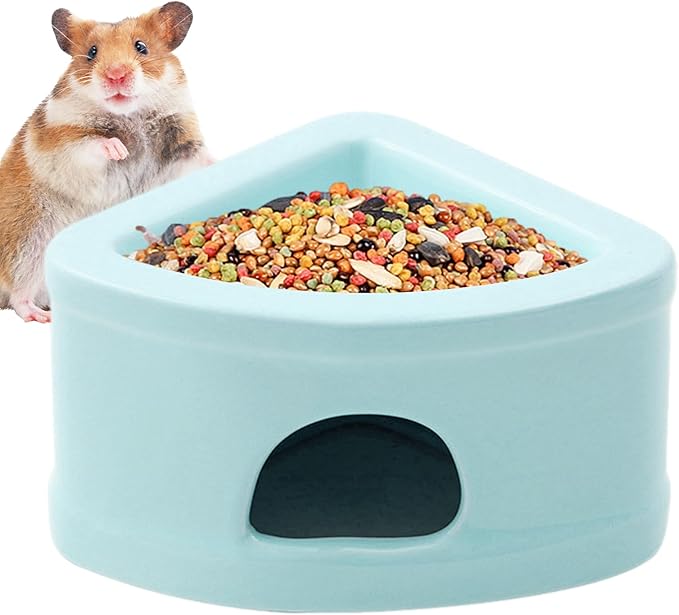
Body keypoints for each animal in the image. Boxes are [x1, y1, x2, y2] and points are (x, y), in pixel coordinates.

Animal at [0, 2, 212, 323]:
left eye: (141, 47)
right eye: (92, 52)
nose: (116, 75)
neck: (130, 115)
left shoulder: (181, 142)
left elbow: (197, 155)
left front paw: (215, 161)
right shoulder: (61, 144)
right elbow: (92, 144)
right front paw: (119, 150)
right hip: (29, 241)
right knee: (19, 295)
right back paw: (43, 316)